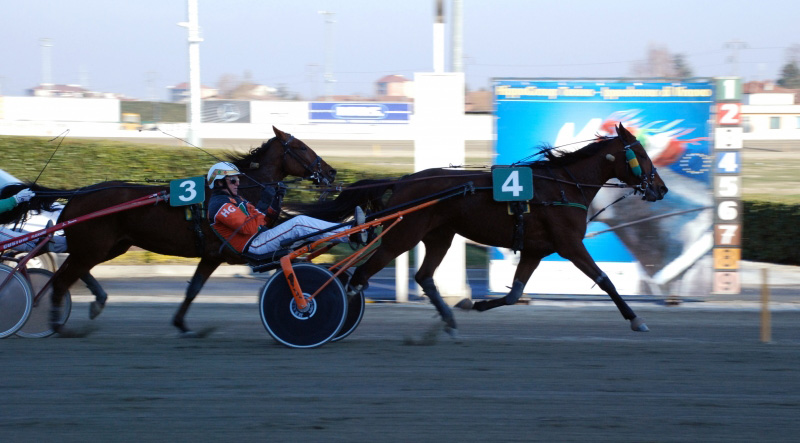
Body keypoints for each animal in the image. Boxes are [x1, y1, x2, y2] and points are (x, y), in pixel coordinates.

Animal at [0, 126, 338, 334]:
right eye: (301, 147)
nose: (332, 172)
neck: (243, 190)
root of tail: (78, 194)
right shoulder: (226, 251)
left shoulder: (221, 252)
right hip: (94, 245)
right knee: (62, 278)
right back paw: (57, 324)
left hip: (109, 246)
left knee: (72, 268)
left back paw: (96, 300)